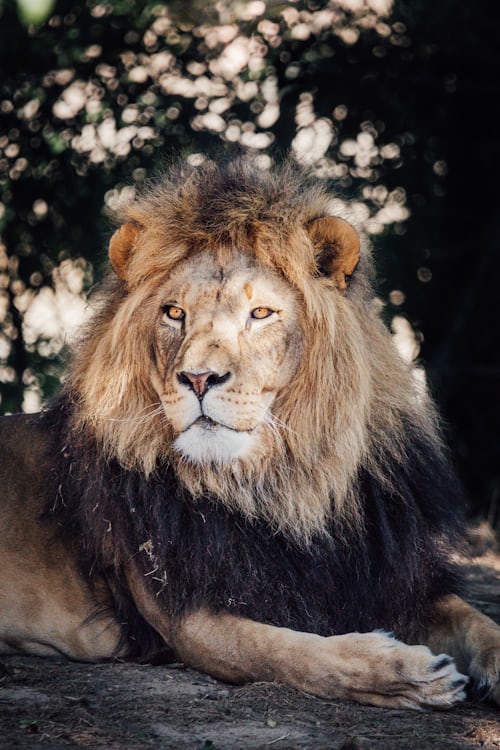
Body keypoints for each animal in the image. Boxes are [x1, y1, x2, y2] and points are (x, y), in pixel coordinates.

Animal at [1, 156, 499, 711]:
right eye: (174, 313)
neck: (281, 486)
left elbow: (479, 622)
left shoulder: (386, 577)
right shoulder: (191, 619)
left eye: (260, 313)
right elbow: (298, 654)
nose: (198, 378)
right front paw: (406, 673)